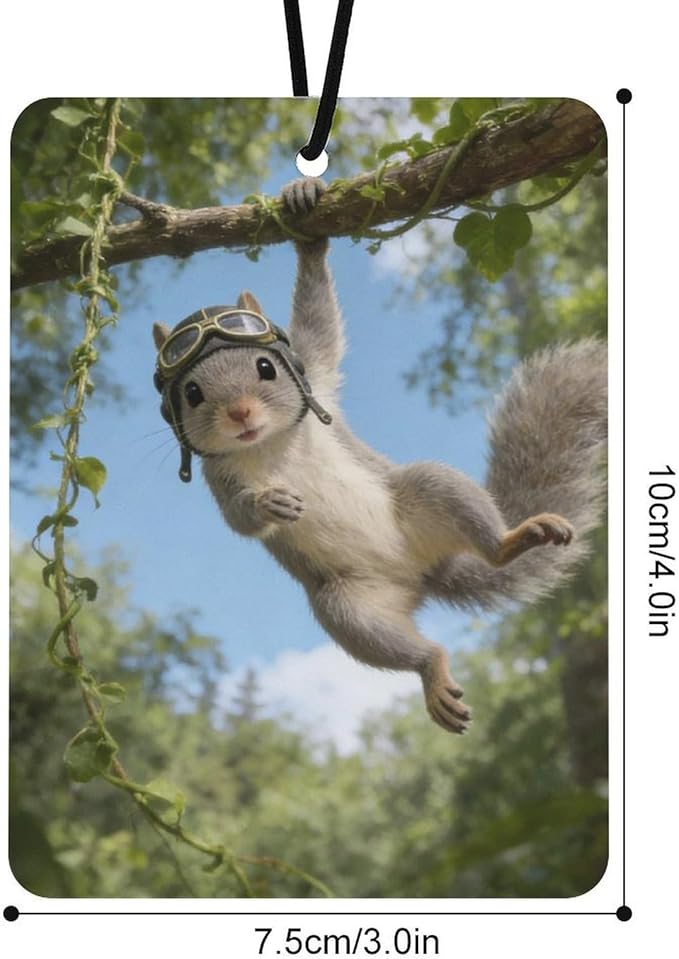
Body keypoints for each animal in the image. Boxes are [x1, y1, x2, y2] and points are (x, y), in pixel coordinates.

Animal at [152, 177, 607, 735]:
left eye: (265, 367)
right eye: (192, 394)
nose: (239, 414)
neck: (267, 442)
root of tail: (423, 577)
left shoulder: (315, 373)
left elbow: (319, 321)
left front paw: (305, 211)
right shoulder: (220, 477)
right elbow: (239, 518)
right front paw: (268, 504)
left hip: (430, 488)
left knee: (486, 541)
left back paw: (515, 538)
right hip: (347, 608)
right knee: (412, 650)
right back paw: (433, 670)